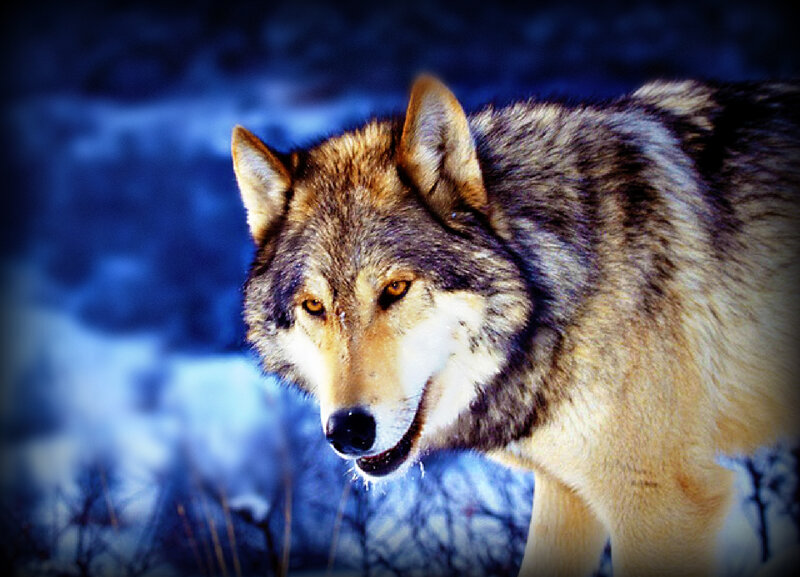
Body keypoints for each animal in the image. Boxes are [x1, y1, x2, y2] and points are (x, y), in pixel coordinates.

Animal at [231, 76, 800, 576]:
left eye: (395, 289)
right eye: (314, 306)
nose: (347, 430)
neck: (559, 284)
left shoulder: (663, 504)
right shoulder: (567, 494)